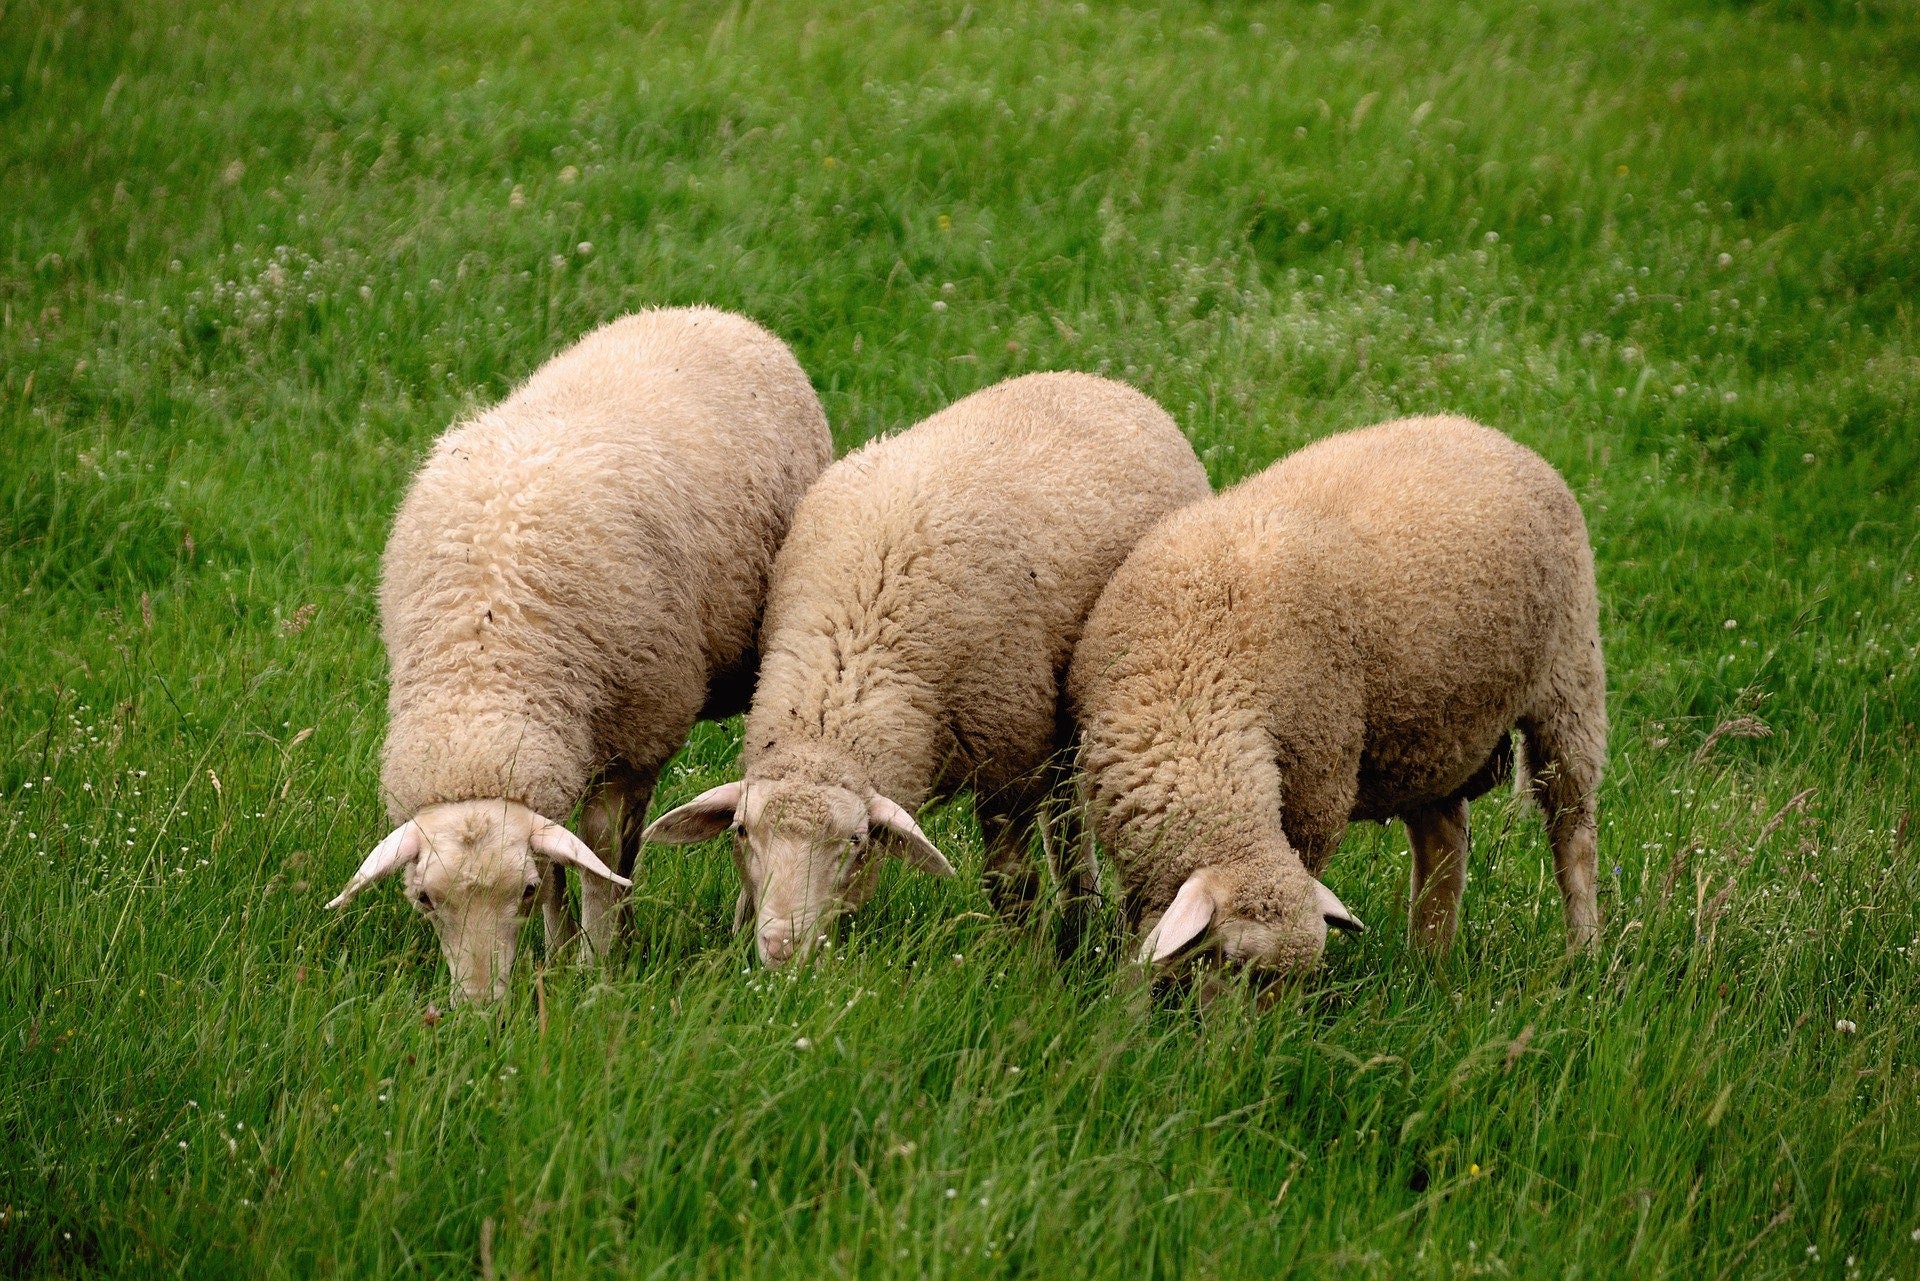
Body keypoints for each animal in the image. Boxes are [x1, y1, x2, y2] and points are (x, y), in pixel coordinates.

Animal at [325, 307, 833, 1003]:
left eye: (519, 891)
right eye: (425, 900)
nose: (480, 1012)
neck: (484, 673)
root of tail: (709, 313)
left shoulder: (632, 740)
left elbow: (595, 857)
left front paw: (595, 966)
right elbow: (566, 860)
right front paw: (560, 953)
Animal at [643, 372, 1213, 966]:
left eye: (855, 842)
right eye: (739, 833)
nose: (781, 949)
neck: (851, 664)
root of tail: (1095, 380)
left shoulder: (1008, 760)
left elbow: (1010, 882)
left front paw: (1027, 967)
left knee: (1065, 821)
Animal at [1067, 415, 1606, 979]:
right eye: (1231, 961)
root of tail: (1485, 431)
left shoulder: (1318, 790)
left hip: (1571, 681)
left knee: (1573, 831)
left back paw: (1584, 952)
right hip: (1435, 730)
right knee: (1443, 842)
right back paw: (1427, 963)